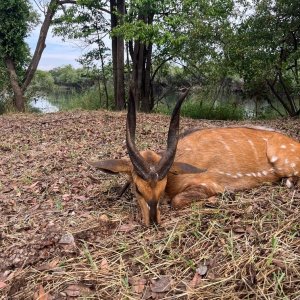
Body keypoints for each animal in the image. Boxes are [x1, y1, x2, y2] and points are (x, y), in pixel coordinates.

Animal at [91, 90, 300, 226]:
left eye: (162, 185)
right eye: (137, 188)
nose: (153, 221)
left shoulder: (209, 184)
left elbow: (177, 201)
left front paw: (218, 199)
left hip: (280, 159)